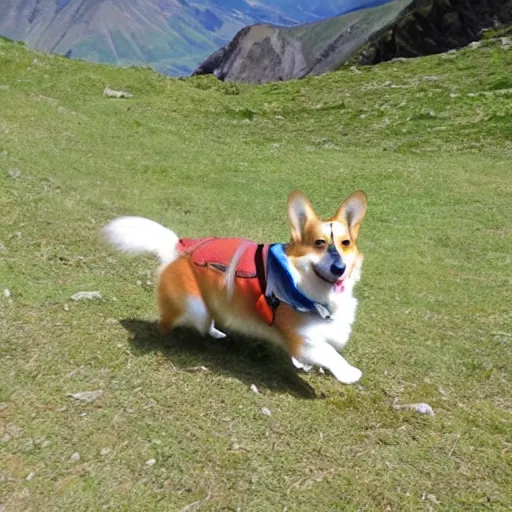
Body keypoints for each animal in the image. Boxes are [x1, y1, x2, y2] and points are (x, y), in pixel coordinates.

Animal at [104, 190, 368, 382]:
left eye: (345, 243)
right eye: (319, 243)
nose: (339, 268)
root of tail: (176, 249)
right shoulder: (304, 340)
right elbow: (329, 353)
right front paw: (349, 373)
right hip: (192, 305)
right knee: (170, 322)